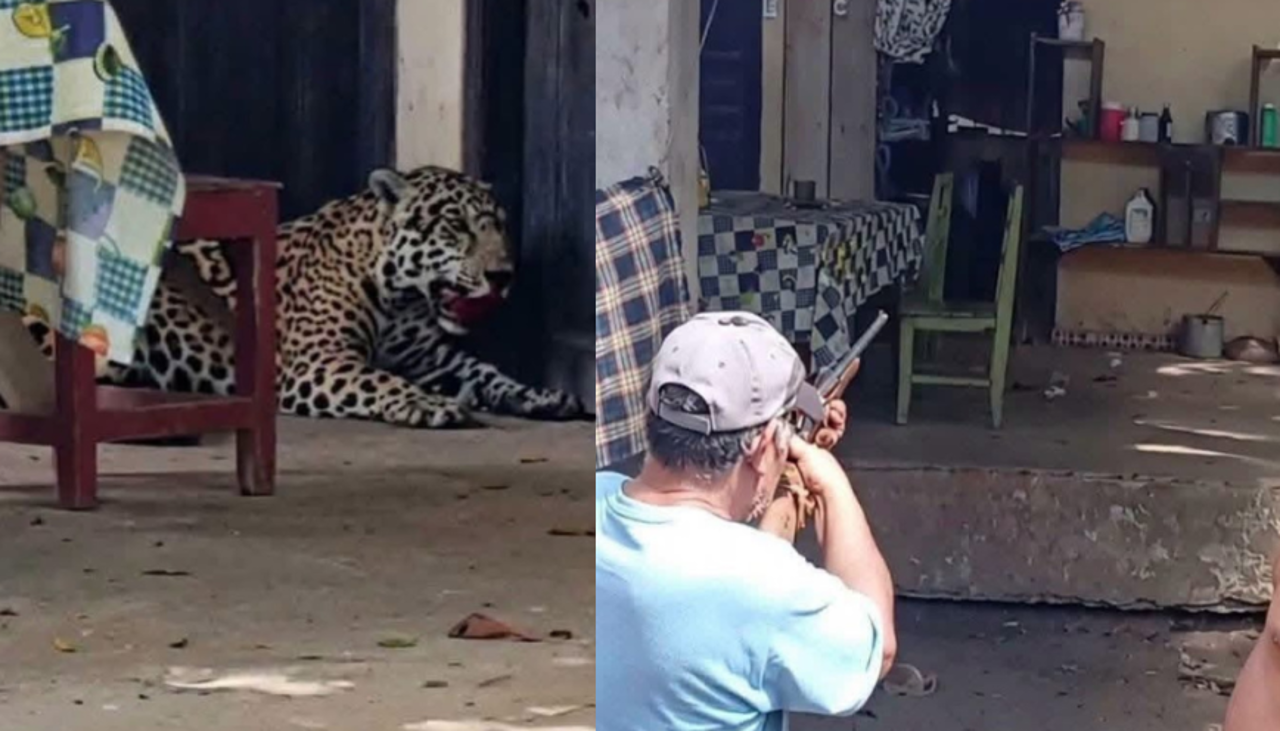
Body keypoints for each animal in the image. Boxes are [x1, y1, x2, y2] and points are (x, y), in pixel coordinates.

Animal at [12, 166, 586, 428]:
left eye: (499, 227)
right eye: (456, 226)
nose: (503, 275)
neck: (402, 299)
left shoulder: (432, 358)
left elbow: (488, 373)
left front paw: (542, 396)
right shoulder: (318, 362)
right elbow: (382, 379)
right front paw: (430, 405)